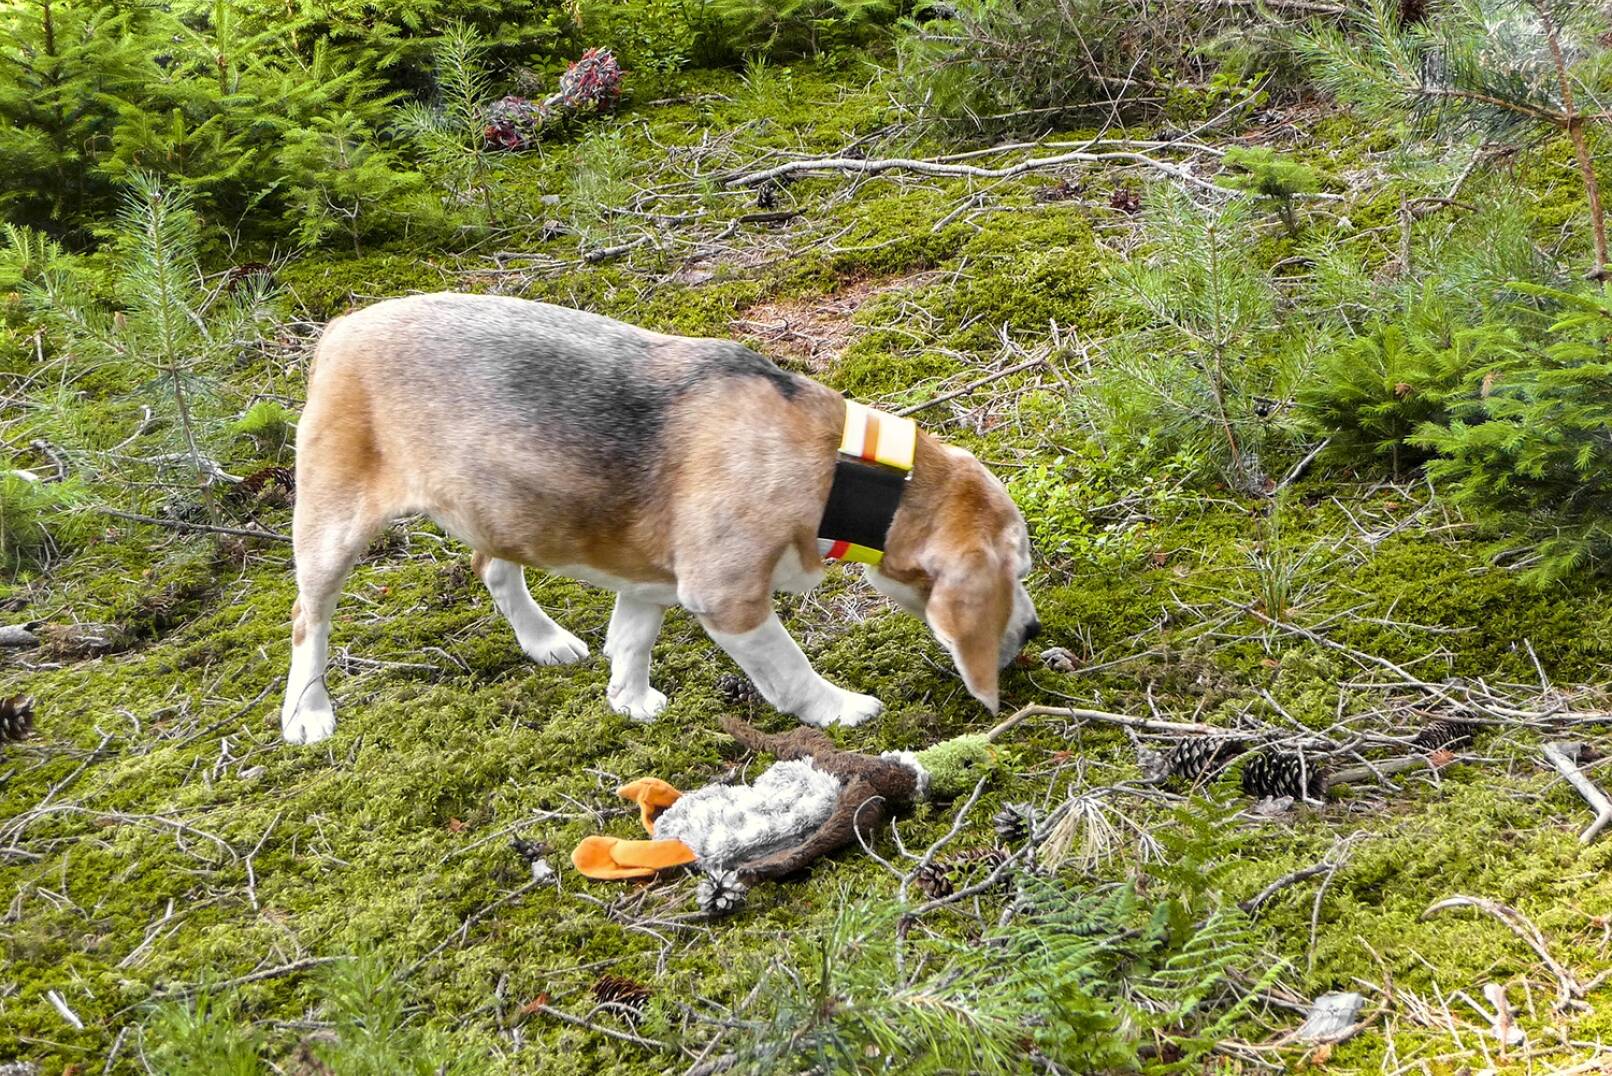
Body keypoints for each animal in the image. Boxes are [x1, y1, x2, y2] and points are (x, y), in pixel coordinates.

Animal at [278, 295, 1038, 748]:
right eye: (1017, 569)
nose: (1031, 630)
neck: (839, 465)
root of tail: (342, 327)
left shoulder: (650, 584)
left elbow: (632, 640)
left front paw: (630, 700)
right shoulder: (729, 600)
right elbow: (790, 670)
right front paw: (837, 708)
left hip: (503, 507)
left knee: (493, 568)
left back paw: (543, 640)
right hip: (331, 531)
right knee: (308, 623)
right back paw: (308, 712)